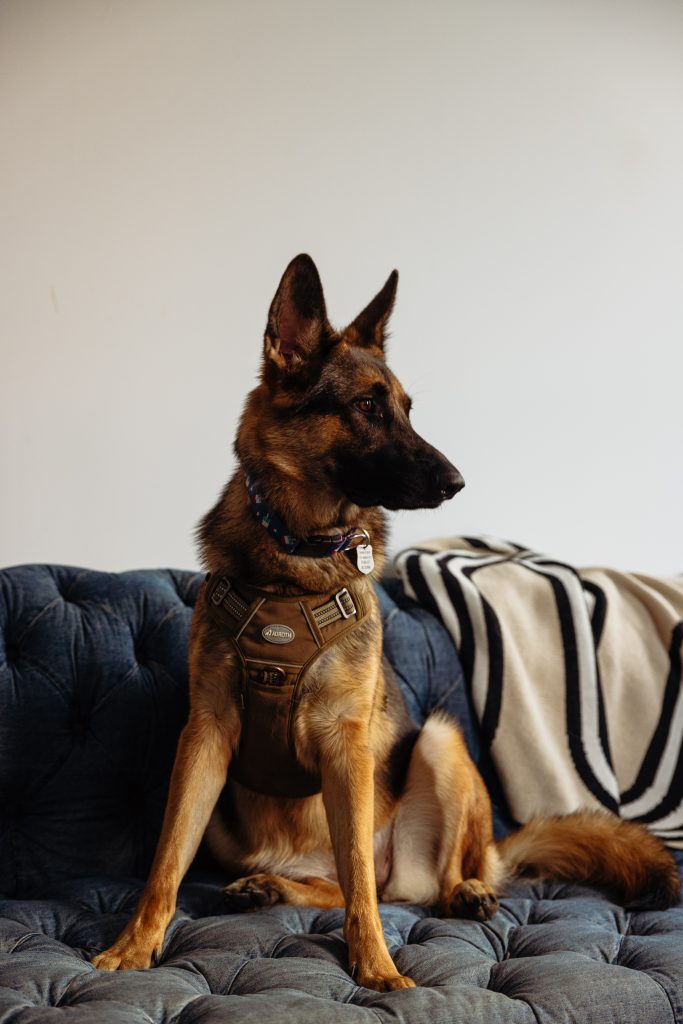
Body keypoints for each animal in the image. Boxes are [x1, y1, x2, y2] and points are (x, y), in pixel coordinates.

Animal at [93, 251, 679, 987]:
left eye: (405, 409)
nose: (457, 482)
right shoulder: (204, 738)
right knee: (338, 883)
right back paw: (269, 887)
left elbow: (362, 889)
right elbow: (167, 857)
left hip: (440, 742)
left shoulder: (345, 745)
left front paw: (374, 963)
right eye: (367, 407)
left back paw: (466, 891)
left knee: (409, 879)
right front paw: (135, 943)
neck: (295, 557)